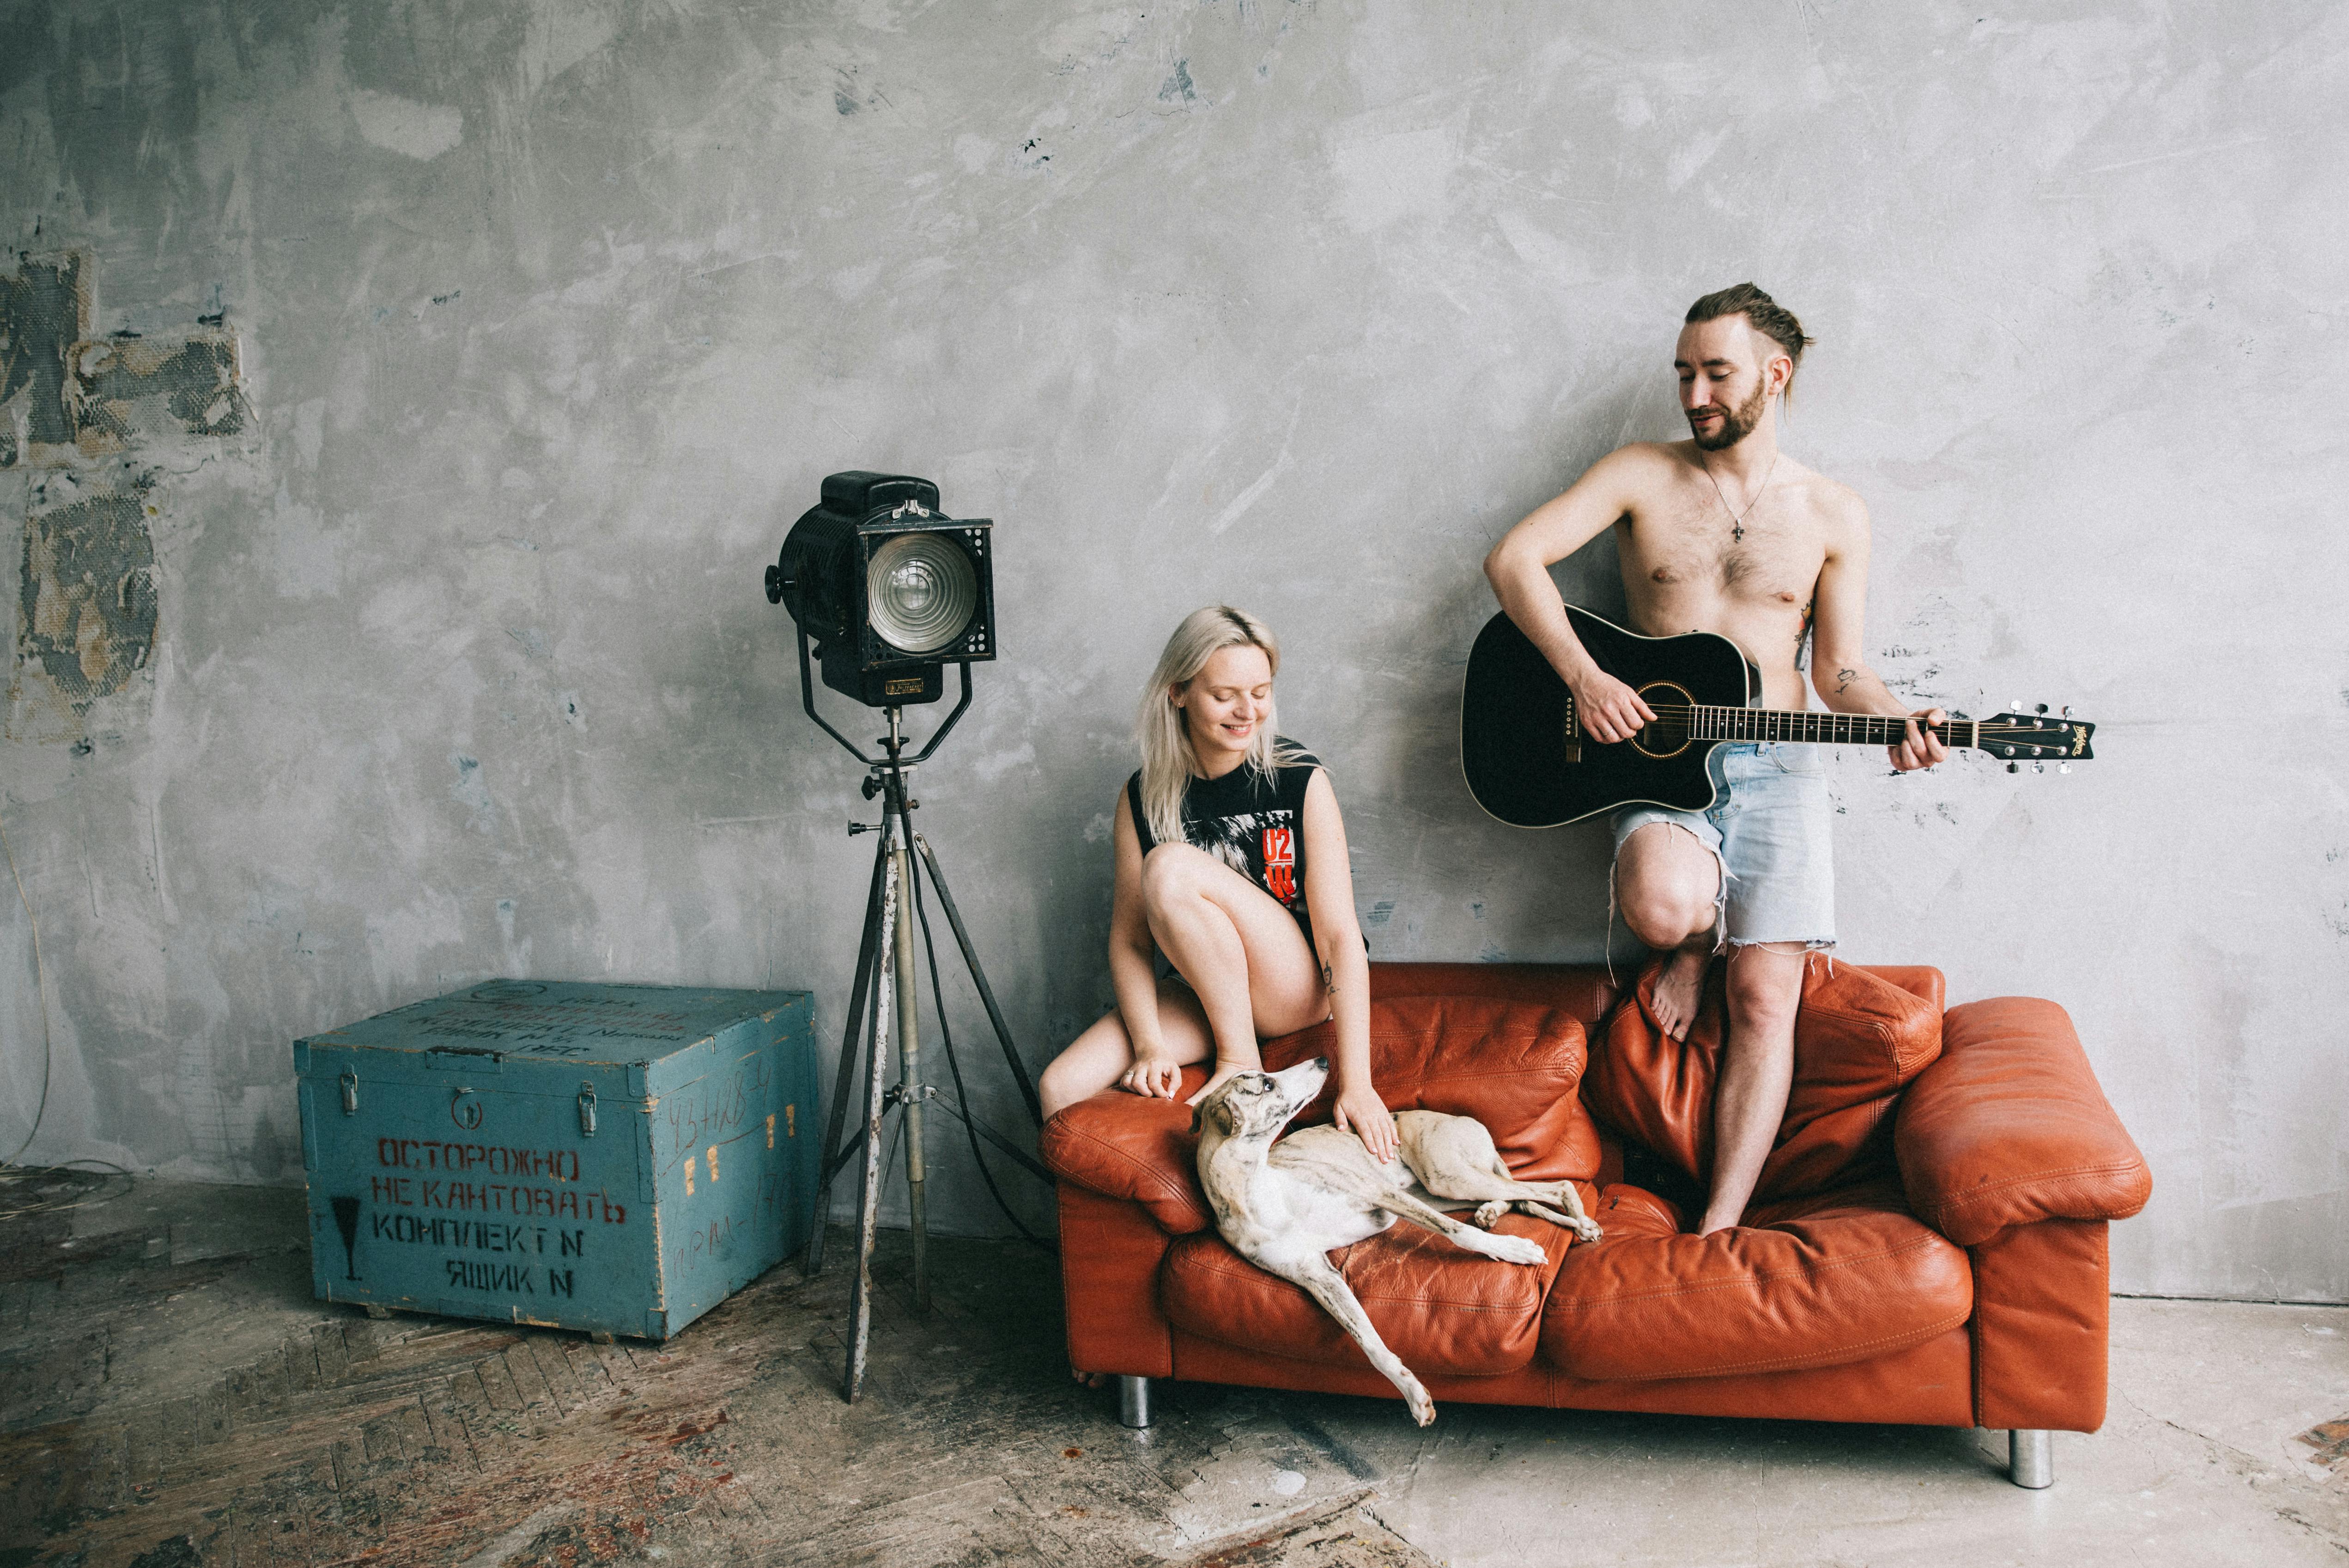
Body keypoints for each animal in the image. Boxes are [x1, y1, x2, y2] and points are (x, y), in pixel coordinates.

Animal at [1193, 1061, 1597, 1427]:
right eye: (1265, 1084)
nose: (1323, 1061)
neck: (1261, 1191)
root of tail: (1463, 1120)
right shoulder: (1320, 1276)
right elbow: (1370, 1343)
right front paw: (1414, 1394)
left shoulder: (1377, 1192)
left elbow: (1457, 1232)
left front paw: (1515, 1249)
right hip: (1437, 1189)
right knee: (1520, 1198)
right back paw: (1494, 1213)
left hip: (1445, 1179)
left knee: (1556, 1186)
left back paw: (1580, 1222)